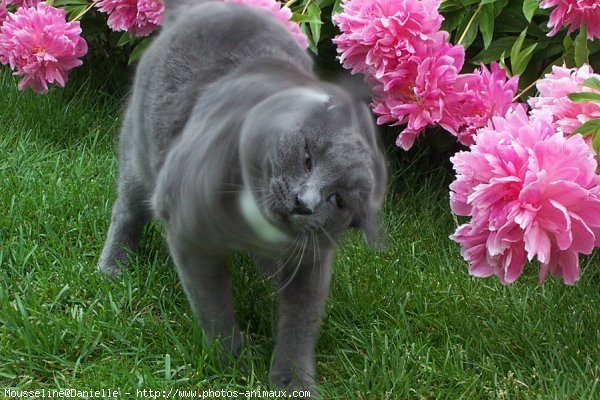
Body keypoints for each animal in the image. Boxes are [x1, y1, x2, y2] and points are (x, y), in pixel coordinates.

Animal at [97, 0, 390, 394]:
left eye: (339, 201)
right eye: (307, 158)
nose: (304, 202)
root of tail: (201, 8)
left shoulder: (313, 259)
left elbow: (301, 320)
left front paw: (293, 381)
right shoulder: (190, 236)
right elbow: (214, 308)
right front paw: (233, 366)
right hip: (138, 150)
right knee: (127, 210)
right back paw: (113, 267)